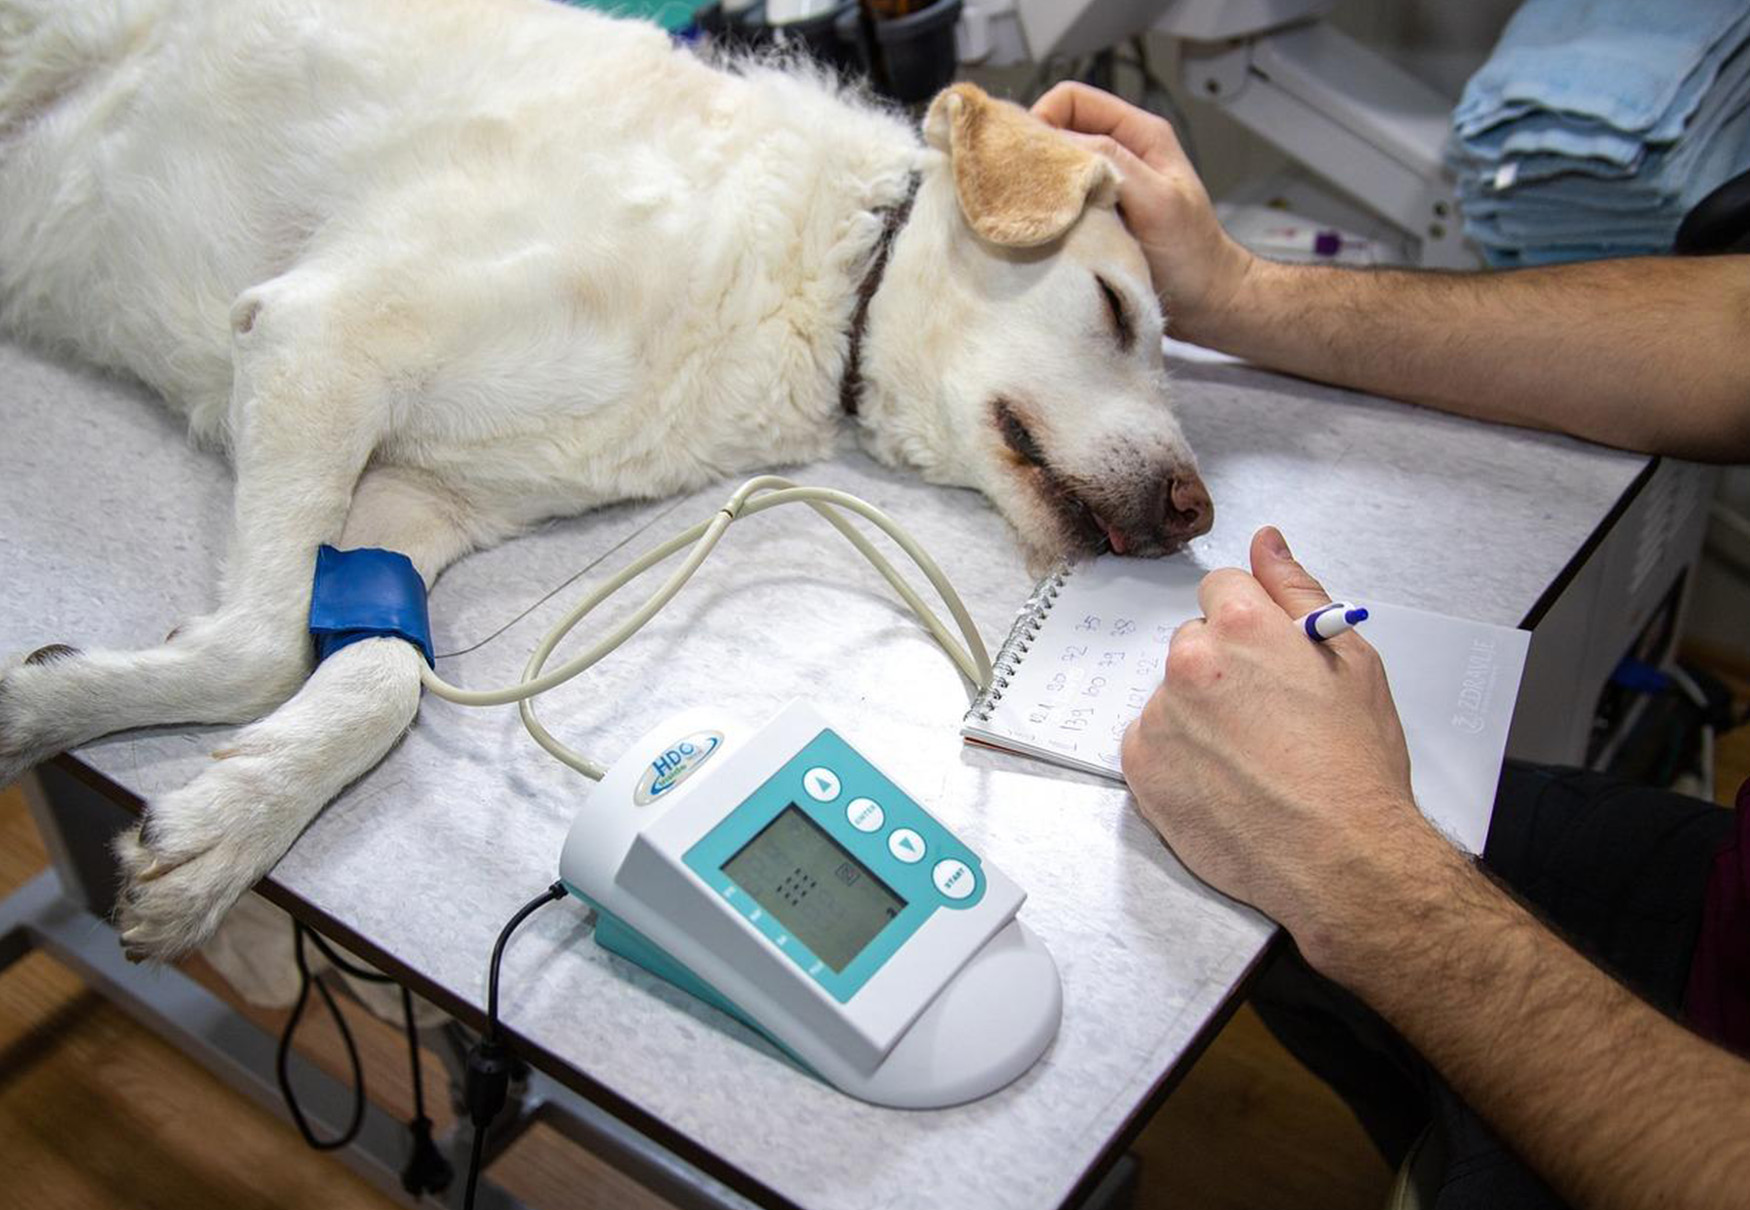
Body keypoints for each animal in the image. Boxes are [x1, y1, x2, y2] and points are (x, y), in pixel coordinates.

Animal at [0, 0, 1204, 966]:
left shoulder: (411, 502)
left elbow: (375, 674)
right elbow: (261, 649)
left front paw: (225, 822)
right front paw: (46, 712)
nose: (1198, 513)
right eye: (1114, 310)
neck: (815, 277)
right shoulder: (320, 338)